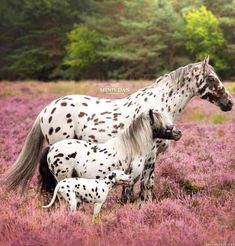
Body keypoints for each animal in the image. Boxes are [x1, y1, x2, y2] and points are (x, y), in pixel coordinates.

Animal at [4, 58, 233, 204]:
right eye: (212, 79)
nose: (228, 103)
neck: (159, 107)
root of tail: (46, 110)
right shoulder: (149, 156)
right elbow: (145, 183)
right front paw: (141, 205)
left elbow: (141, 182)